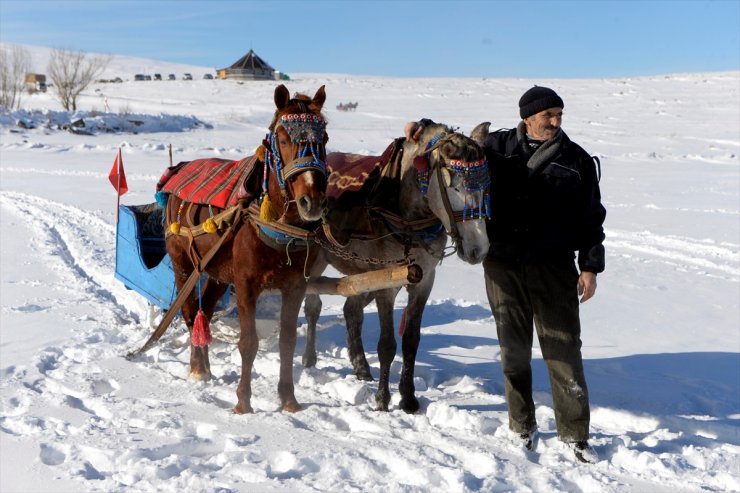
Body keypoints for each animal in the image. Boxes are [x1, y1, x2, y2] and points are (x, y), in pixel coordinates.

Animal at [168, 84, 330, 412]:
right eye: (283, 139)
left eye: (325, 139)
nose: (312, 202)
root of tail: (178, 170)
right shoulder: (245, 285)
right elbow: (248, 343)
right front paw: (243, 402)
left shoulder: (295, 286)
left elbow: (287, 342)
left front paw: (289, 400)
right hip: (183, 264)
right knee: (190, 313)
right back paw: (197, 369)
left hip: (216, 273)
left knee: (204, 312)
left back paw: (205, 367)